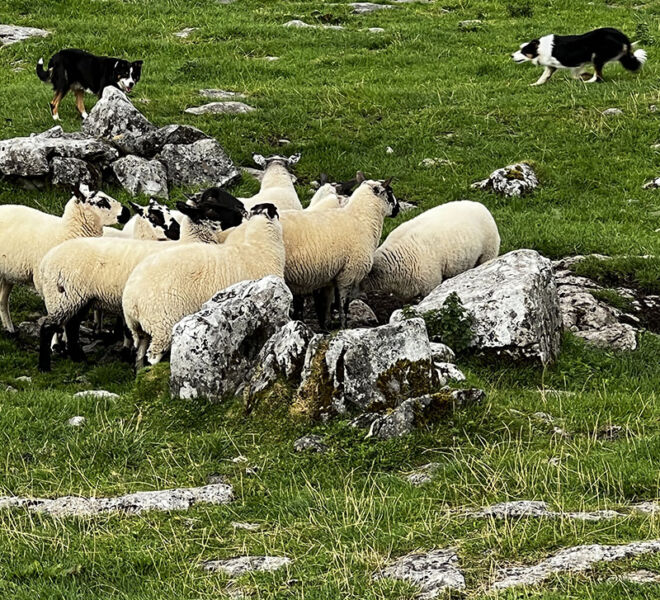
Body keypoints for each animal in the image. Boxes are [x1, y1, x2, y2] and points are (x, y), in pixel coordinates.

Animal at [0, 184, 129, 332]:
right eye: (101, 202)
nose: (127, 212)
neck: (66, 233)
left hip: (8, 273)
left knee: (2, 299)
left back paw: (9, 328)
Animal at [34, 195, 245, 370]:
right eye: (210, 209)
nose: (241, 214)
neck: (188, 241)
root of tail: (46, 260)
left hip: (79, 298)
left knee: (71, 326)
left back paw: (79, 359)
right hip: (64, 296)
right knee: (48, 327)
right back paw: (45, 366)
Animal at [122, 204, 284, 368]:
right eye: (211, 210)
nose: (240, 213)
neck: (259, 249)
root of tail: (130, 301)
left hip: (140, 330)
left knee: (140, 354)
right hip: (162, 324)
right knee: (153, 356)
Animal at [278, 177, 398, 328]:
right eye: (390, 192)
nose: (398, 209)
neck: (363, 220)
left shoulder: (329, 275)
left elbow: (326, 304)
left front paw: (326, 326)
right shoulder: (349, 274)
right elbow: (343, 305)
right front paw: (343, 327)